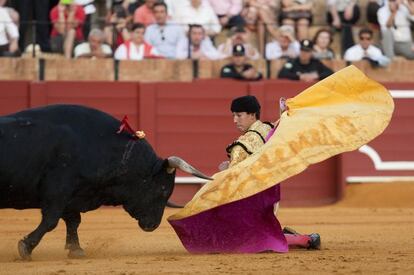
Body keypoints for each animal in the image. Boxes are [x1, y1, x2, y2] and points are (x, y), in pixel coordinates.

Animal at [0, 105, 212, 260]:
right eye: (162, 189)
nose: (152, 225)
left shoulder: (74, 194)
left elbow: (73, 220)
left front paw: (75, 249)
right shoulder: (58, 191)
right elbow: (51, 220)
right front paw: (26, 247)